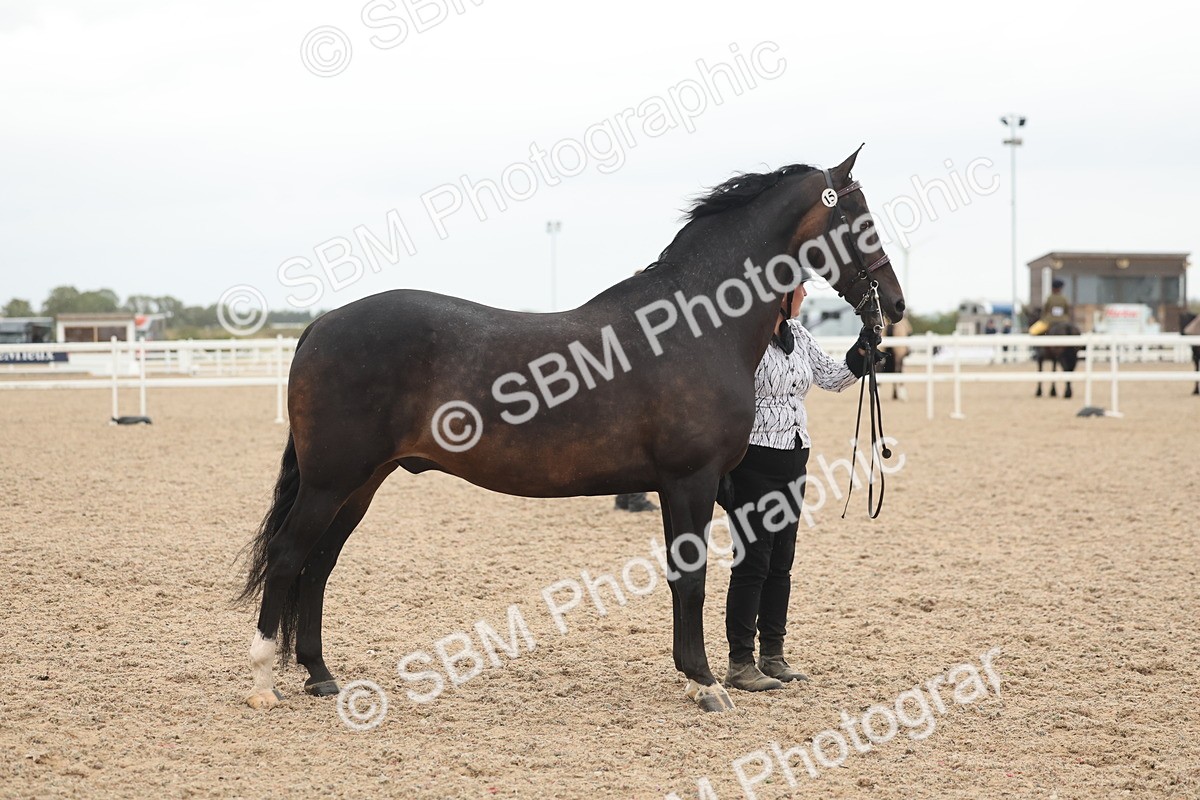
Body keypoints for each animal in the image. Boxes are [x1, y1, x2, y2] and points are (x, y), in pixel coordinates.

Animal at [237, 148, 905, 714]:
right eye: (860, 218)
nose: (894, 305)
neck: (696, 328)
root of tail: (319, 326)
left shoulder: (685, 486)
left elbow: (683, 577)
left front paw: (697, 675)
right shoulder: (690, 481)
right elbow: (691, 579)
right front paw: (707, 683)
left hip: (361, 483)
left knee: (319, 565)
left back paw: (320, 676)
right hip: (332, 481)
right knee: (290, 556)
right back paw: (265, 683)